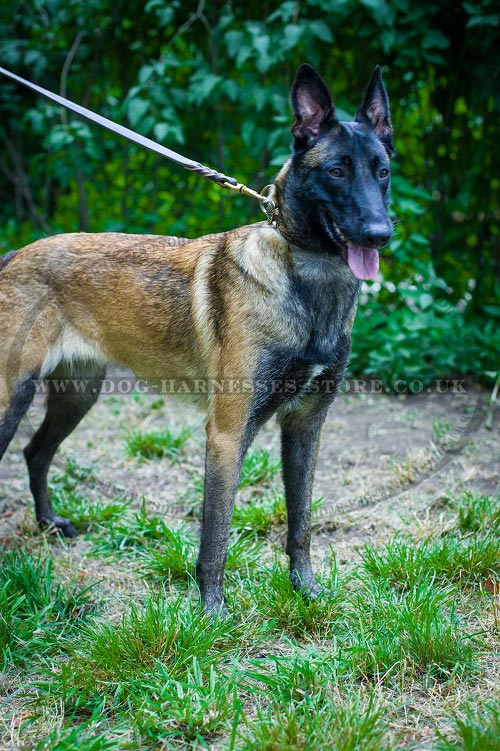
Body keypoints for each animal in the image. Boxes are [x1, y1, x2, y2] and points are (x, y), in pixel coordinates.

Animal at [0, 64, 394, 616]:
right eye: (337, 171)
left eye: (382, 171)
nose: (380, 233)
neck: (307, 280)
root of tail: (15, 255)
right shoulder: (227, 435)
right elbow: (215, 538)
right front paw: (212, 616)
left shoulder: (305, 426)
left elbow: (300, 524)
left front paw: (307, 592)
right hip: (11, 399)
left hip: (78, 395)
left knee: (36, 453)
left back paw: (48, 525)